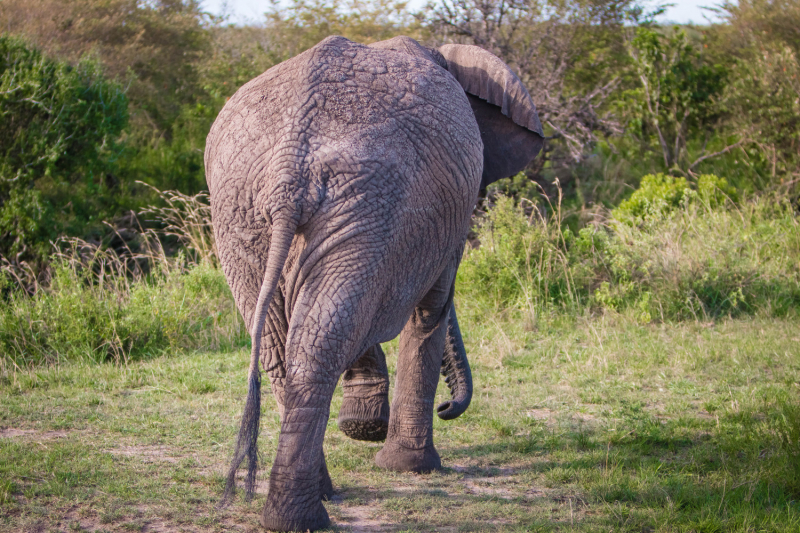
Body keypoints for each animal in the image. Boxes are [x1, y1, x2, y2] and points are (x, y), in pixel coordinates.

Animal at [206, 35, 544, 528]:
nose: (448, 408)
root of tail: (290, 164)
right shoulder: (442, 219)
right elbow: (430, 310)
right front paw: (408, 466)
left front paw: (364, 426)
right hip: (359, 199)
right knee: (319, 340)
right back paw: (304, 517)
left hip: (253, 209)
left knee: (285, 345)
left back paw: (307, 504)